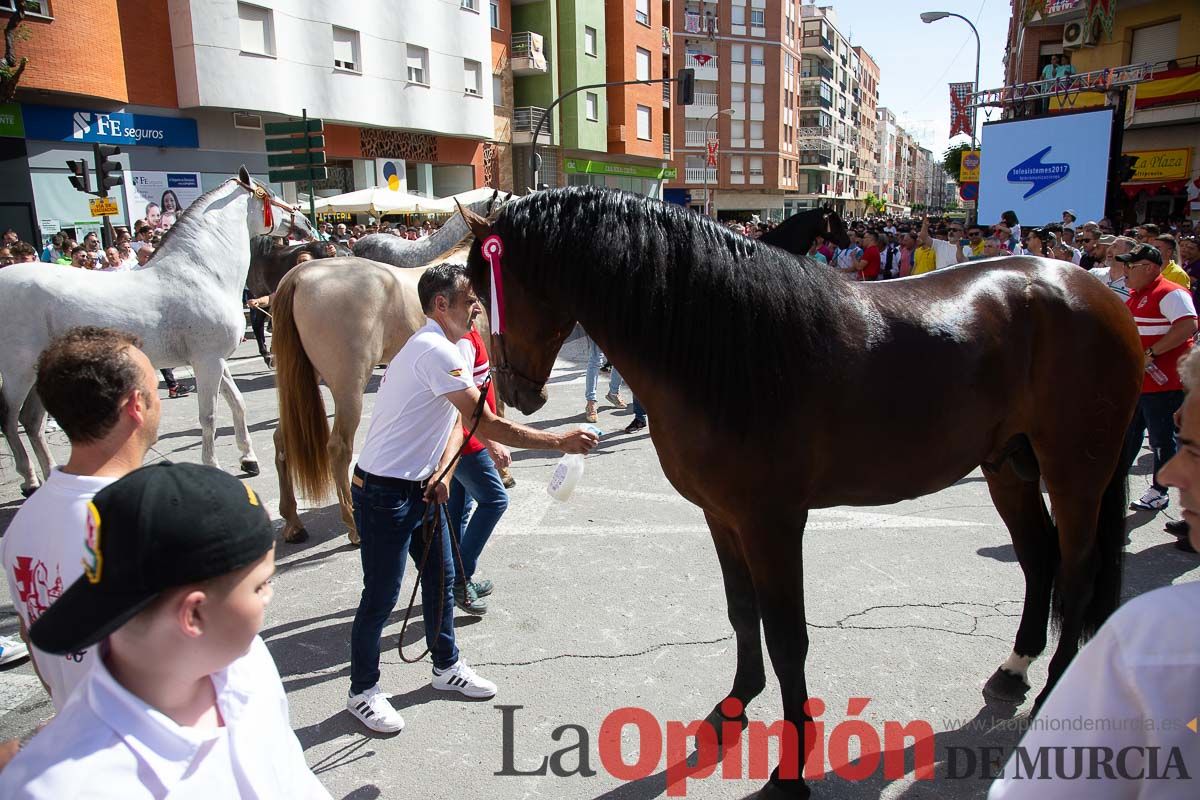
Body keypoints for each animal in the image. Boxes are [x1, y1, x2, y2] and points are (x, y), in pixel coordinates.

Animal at [0, 166, 307, 494]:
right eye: (268, 195)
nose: (303, 222)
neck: (203, 273)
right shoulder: (207, 361)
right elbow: (209, 416)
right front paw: (213, 465)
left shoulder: (215, 360)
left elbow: (237, 403)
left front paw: (248, 460)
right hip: (19, 372)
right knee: (10, 420)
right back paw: (29, 479)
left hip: (37, 373)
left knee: (31, 422)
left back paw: (46, 476)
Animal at [460, 189, 1142, 800]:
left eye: (491, 289)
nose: (512, 393)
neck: (727, 348)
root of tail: (1095, 290)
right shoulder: (721, 516)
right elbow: (743, 613)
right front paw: (736, 704)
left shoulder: (774, 523)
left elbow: (789, 638)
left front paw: (789, 774)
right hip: (1009, 468)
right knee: (1038, 558)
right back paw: (1015, 668)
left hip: (1076, 474)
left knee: (1077, 572)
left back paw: (1055, 688)